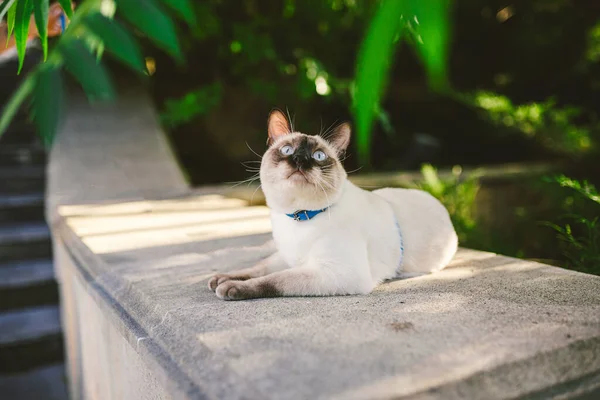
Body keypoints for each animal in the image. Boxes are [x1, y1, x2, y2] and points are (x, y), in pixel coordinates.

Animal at [209, 109, 458, 300]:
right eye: (287, 150)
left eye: (318, 156)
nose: (300, 160)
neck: (299, 217)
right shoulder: (288, 257)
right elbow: (258, 268)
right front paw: (222, 278)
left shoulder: (335, 272)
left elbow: (275, 279)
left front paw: (230, 288)